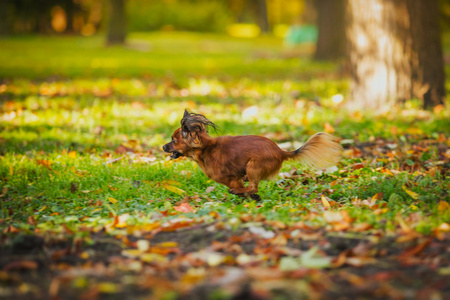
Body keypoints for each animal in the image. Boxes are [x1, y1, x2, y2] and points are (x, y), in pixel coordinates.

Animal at [163, 109, 342, 200]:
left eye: (173, 140)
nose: (163, 147)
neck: (206, 149)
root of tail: (281, 151)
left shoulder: (231, 179)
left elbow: (240, 187)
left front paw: (240, 193)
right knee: (252, 186)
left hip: (253, 166)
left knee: (253, 186)